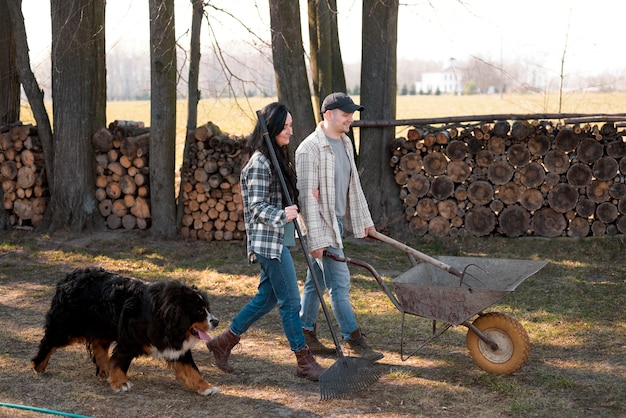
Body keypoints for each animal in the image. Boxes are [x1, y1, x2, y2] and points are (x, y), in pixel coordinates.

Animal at [31, 266, 218, 396]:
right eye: (200, 312)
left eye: (207, 309)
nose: (216, 321)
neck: (162, 318)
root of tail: (68, 278)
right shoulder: (129, 341)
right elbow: (120, 361)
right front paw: (120, 383)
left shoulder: (177, 348)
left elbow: (192, 370)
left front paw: (206, 387)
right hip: (67, 328)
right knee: (49, 342)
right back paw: (39, 365)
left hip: (103, 328)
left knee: (99, 347)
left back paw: (104, 371)